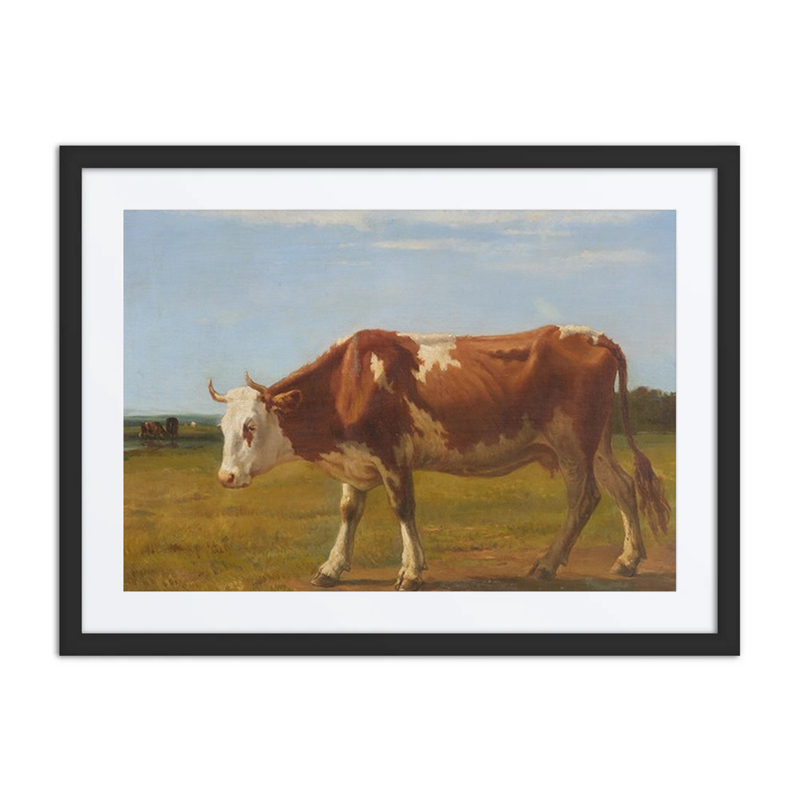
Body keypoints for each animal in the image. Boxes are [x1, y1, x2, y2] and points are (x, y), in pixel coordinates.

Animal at [208, 326, 670, 590]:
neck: (348, 383)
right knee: (623, 487)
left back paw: (547, 563)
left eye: (251, 426)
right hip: (597, 444)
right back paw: (627, 560)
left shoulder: (393, 455)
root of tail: (591, 334)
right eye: (223, 428)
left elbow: (403, 509)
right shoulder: (355, 462)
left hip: (572, 444)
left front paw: (412, 571)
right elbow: (348, 511)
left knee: (585, 497)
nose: (226, 477)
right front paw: (332, 568)